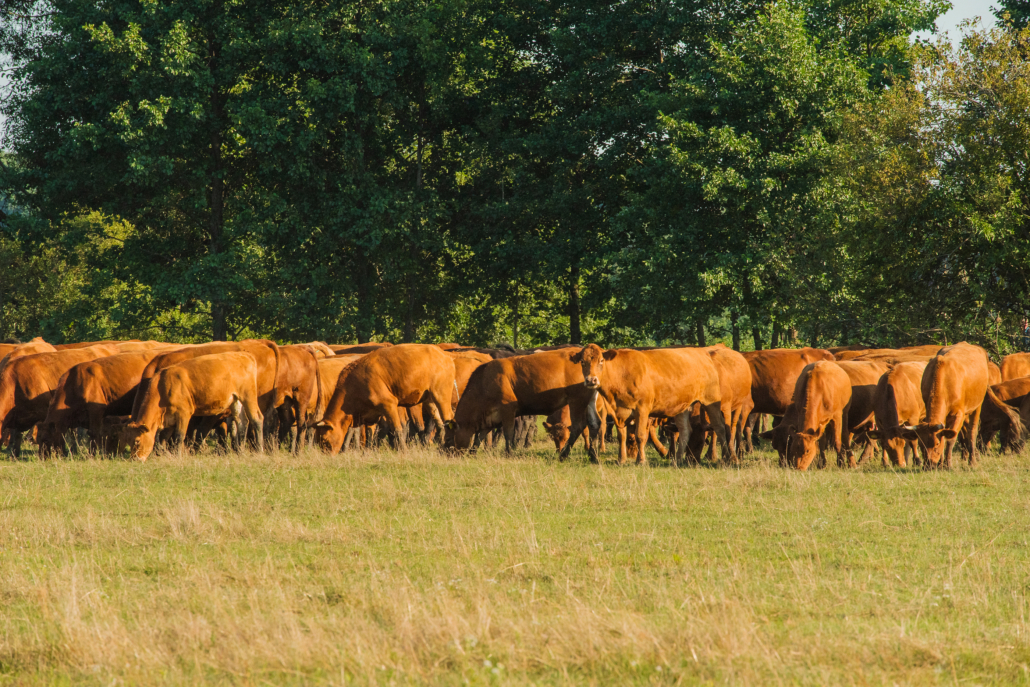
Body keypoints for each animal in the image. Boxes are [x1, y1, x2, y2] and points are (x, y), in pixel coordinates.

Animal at [34, 349, 174, 456]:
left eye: (46, 440)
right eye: (38, 440)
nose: (42, 457)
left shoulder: (96, 411)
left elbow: (94, 433)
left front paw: (93, 454)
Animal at [120, 353, 264, 460]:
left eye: (137, 441)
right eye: (129, 441)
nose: (135, 459)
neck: (163, 387)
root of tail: (244, 355)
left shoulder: (184, 413)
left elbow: (179, 436)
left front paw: (177, 455)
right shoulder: (168, 419)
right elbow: (163, 438)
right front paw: (165, 454)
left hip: (248, 395)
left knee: (256, 418)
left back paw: (259, 449)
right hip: (235, 400)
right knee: (242, 422)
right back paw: (240, 451)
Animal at [314, 344, 456, 454]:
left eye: (324, 440)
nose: (327, 454)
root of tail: (445, 355)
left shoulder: (389, 404)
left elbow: (397, 429)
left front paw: (403, 450)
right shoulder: (368, 414)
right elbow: (366, 432)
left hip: (441, 396)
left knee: (448, 418)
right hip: (429, 400)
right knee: (440, 423)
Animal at [565, 344, 731, 466]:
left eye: (601, 361)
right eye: (582, 362)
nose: (591, 380)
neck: (622, 375)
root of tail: (702, 352)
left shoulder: (642, 409)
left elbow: (640, 435)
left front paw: (641, 460)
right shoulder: (618, 411)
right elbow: (621, 436)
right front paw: (621, 459)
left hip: (711, 400)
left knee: (719, 427)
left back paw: (727, 458)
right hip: (682, 406)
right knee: (685, 431)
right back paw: (677, 460)